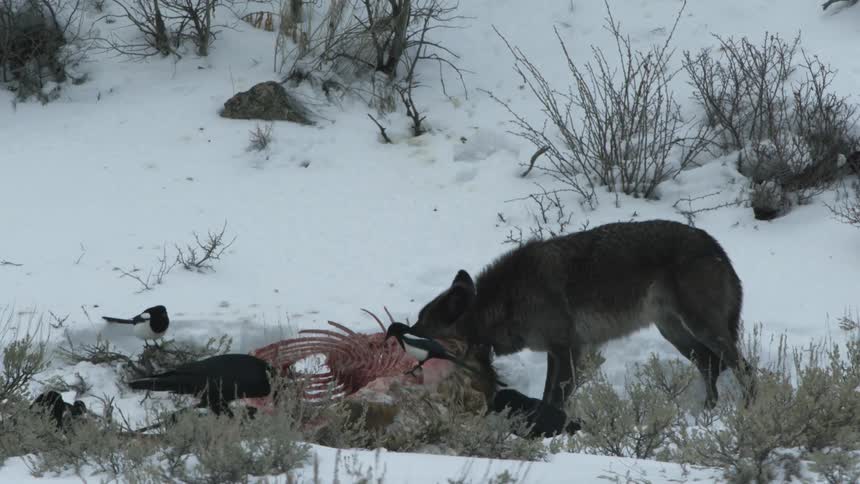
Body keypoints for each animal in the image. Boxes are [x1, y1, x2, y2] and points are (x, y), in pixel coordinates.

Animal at [412, 219, 754, 408]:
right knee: (710, 365)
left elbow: (556, 398)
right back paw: (706, 414)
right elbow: (549, 394)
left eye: (420, 325)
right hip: (674, 332)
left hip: (702, 329)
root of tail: (715, 246)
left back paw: (747, 413)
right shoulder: (556, 351)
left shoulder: (568, 349)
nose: (401, 331)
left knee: (744, 369)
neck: (506, 300)